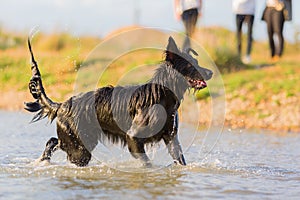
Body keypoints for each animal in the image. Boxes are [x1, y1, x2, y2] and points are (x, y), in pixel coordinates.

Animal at [25, 36, 213, 166]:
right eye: (190, 65)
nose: (210, 72)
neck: (162, 95)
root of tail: (62, 105)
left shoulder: (171, 137)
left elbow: (180, 160)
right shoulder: (133, 137)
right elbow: (147, 163)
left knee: (53, 141)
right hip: (80, 148)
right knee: (57, 144)